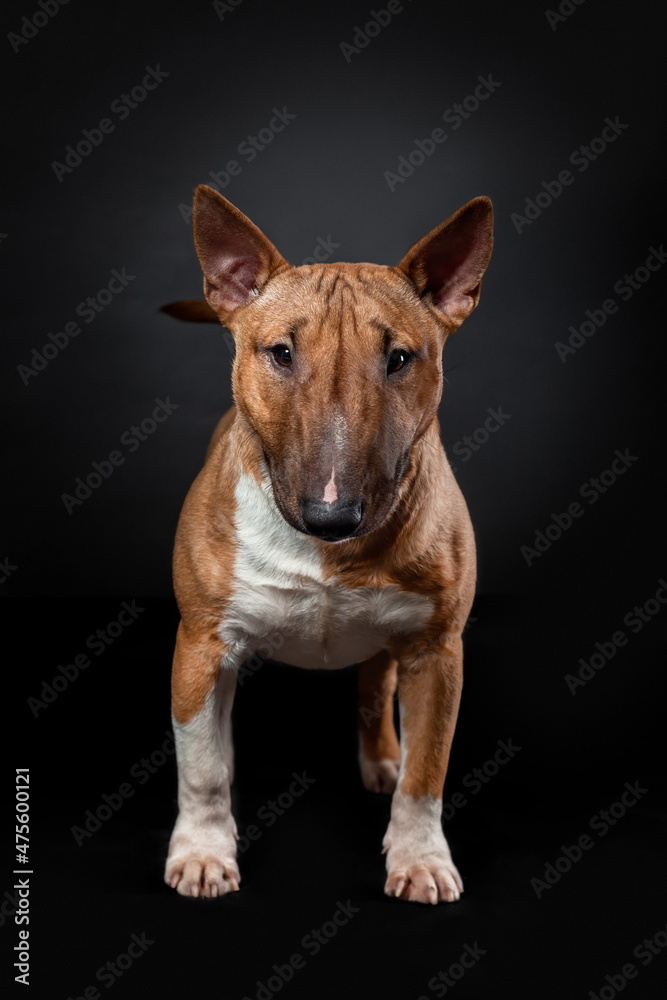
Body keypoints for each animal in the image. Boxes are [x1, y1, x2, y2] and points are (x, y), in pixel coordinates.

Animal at [164, 184, 494, 904]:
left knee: (375, 689)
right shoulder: (201, 644)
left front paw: (420, 859)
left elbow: (427, 773)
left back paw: (381, 761)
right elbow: (202, 766)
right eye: (281, 353)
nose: (332, 514)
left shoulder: (437, 651)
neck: (325, 554)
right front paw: (202, 852)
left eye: (399, 357)